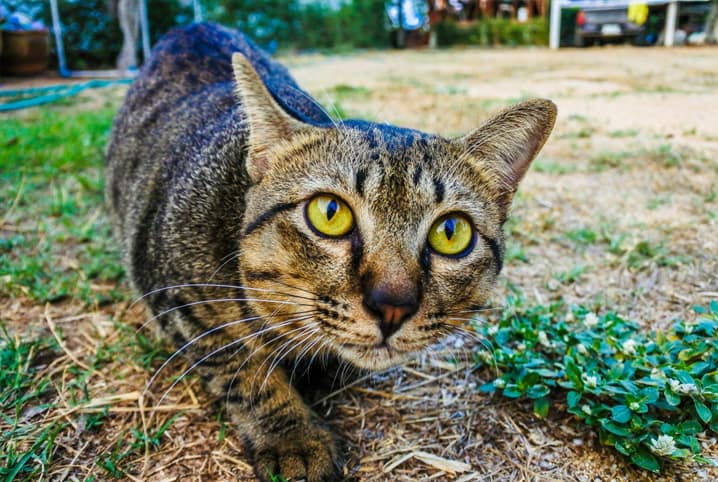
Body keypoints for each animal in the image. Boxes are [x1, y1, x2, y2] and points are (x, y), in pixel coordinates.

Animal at [105, 20, 556, 480]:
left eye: (451, 233)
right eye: (329, 213)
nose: (392, 306)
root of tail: (195, 24)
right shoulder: (177, 299)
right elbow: (243, 369)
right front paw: (292, 436)